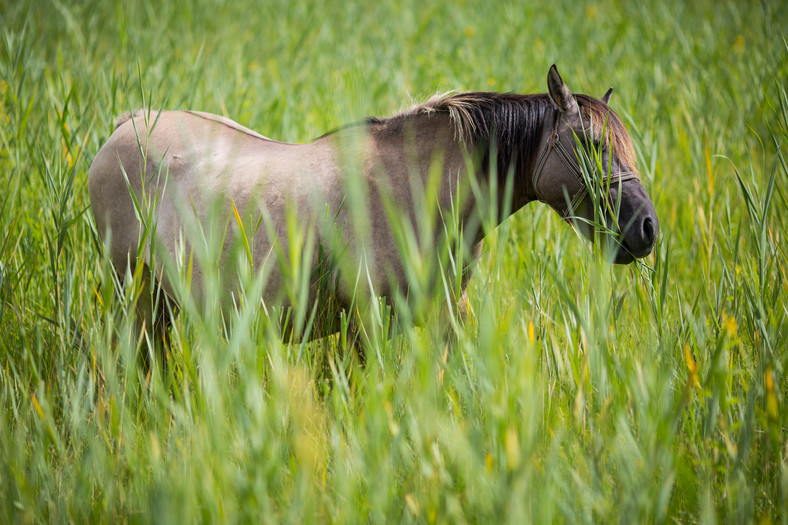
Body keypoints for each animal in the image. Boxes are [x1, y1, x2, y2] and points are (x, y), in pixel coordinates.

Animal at [87, 65, 660, 342]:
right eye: (590, 144)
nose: (647, 228)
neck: (417, 191)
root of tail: (127, 125)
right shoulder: (371, 326)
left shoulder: (444, 318)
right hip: (134, 299)